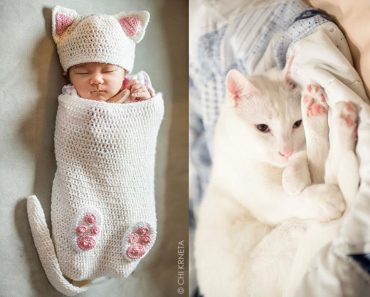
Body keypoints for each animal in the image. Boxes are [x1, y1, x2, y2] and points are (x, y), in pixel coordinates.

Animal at [194, 68, 358, 294]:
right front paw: (315, 193)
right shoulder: (269, 202)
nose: (285, 152)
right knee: (332, 172)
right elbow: (302, 187)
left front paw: (294, 172)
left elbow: (304, 157)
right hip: (292, 233)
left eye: (296, 124)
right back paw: (338, 120)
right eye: (262, 127)